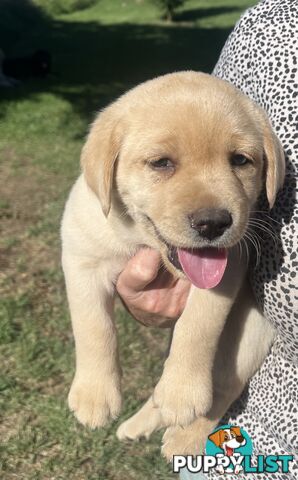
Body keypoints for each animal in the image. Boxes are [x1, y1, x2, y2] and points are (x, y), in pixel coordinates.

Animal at [61, 71, 284, 458]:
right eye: (161, 163)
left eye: (240, 160)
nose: (213, 224)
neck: (141, 239)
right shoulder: (80, 254)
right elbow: (93, 326)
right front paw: (95, 395)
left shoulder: (226, 273)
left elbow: (197, 329)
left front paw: (183, 394)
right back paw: (136, 426)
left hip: (253, 330)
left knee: (224, 384)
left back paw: (185, 437)